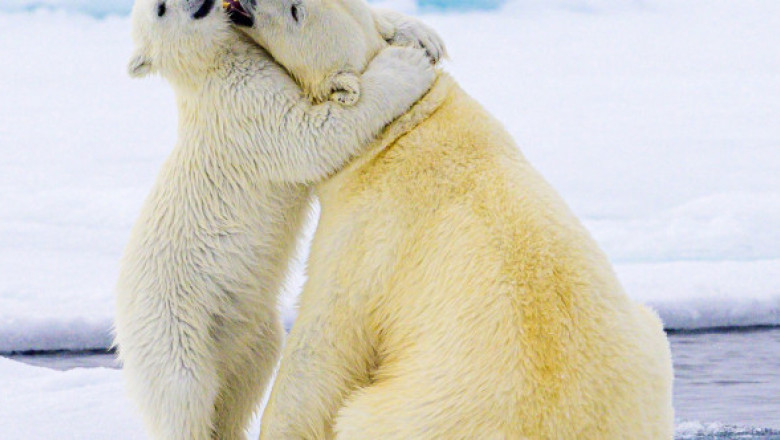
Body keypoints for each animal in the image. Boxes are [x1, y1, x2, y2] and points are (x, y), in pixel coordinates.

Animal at [116, 0, 444, 440]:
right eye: (161, 9)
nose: (196, 2)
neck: (212, 66)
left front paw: (423, 36)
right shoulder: (244, 110)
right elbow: (311, 135)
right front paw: (407, 65)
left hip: (245, 330)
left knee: (244, 379)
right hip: (171, 329)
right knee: (183, 398)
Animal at [233, 0, 676, 436]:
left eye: (296, 12)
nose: (246, 2)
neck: (405, 127)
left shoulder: (367, 233)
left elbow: (325, 341)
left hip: (414, 409)